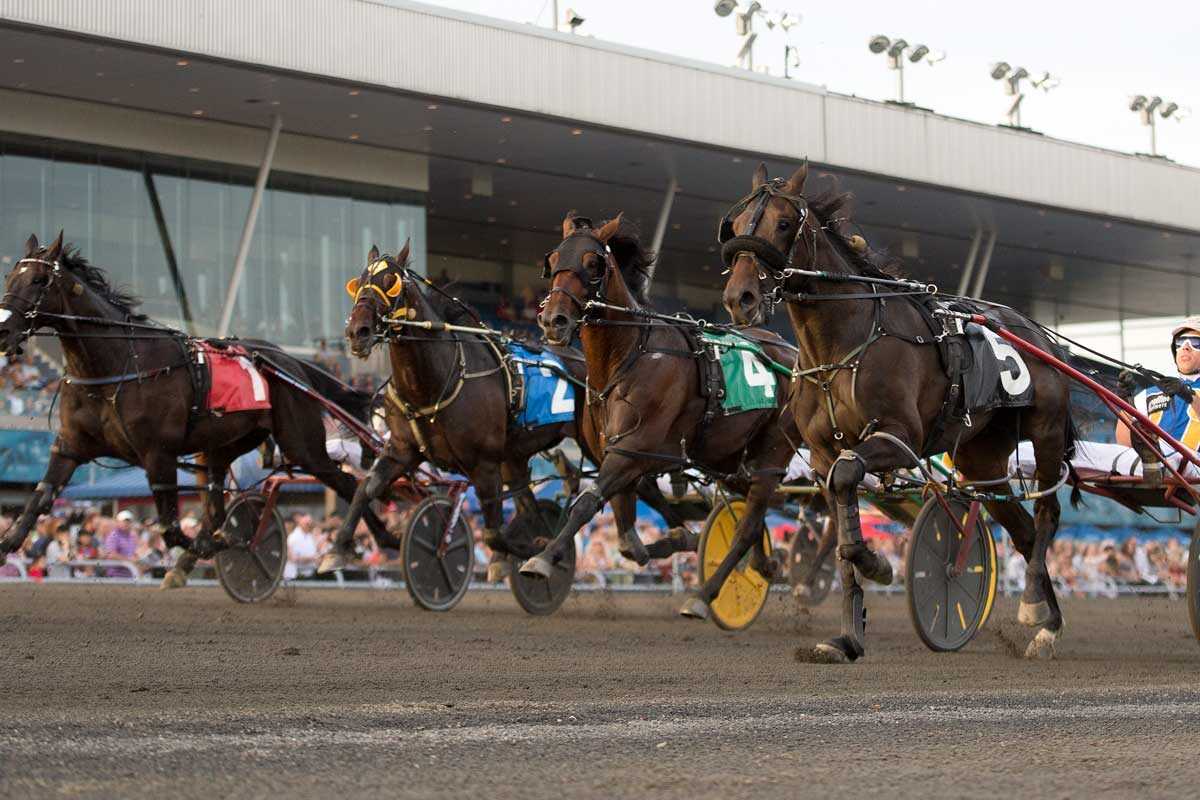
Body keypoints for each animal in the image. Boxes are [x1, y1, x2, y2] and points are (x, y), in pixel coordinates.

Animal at [0, 231, 396, 582]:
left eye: (38, 279)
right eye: (9, 276)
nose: (4, 331)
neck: (117, 366)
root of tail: (292, 364)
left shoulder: (157, 453)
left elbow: (171, 527)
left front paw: (210, 546)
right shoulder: (70, 447)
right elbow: (40, 498)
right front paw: (8, 543)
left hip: (302, 444)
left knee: (347, 481)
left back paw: (373, 540)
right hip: (226, 444)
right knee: (218, 497)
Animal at [333, 241, 691, 578]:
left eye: (391, 282)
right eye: (359, 282)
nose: (357, 331)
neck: (435, 382)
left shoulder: (484, 464)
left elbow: (493, 534)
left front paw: (533, 550)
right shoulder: (402, 450)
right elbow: (366, 489)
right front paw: (339, 548)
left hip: (601, 442)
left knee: (638, 483)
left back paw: (681, 533)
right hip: (517, 456)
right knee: (539, 501)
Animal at [525, 214, 796, 618]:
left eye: (593, 264)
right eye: (553, 260)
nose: (552, 320)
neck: (629, 356)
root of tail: (795, 354)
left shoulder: (631, 450)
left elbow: (587, 502)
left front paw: (543, 558)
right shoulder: (618, 453)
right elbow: (627, 541)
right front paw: (678, 537)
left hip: (772, 451)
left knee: (749, 523)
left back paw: (704, 594)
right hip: (731, 457)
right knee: (755, 509)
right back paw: (764, 563)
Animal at [720, 164, 1080, 662]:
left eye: (784, 223)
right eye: (734, 225)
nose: (741, 298)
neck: (842, 346)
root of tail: (1042, 337)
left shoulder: (899, 436)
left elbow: (849, 483)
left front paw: (878, 564)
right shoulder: (822, 456)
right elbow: (841, 523)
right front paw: (847, 636)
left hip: (1045, 431)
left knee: (1046, 513)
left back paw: (1034, 610)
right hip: (981, 458)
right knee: (1023, 529)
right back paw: (1049, 623)